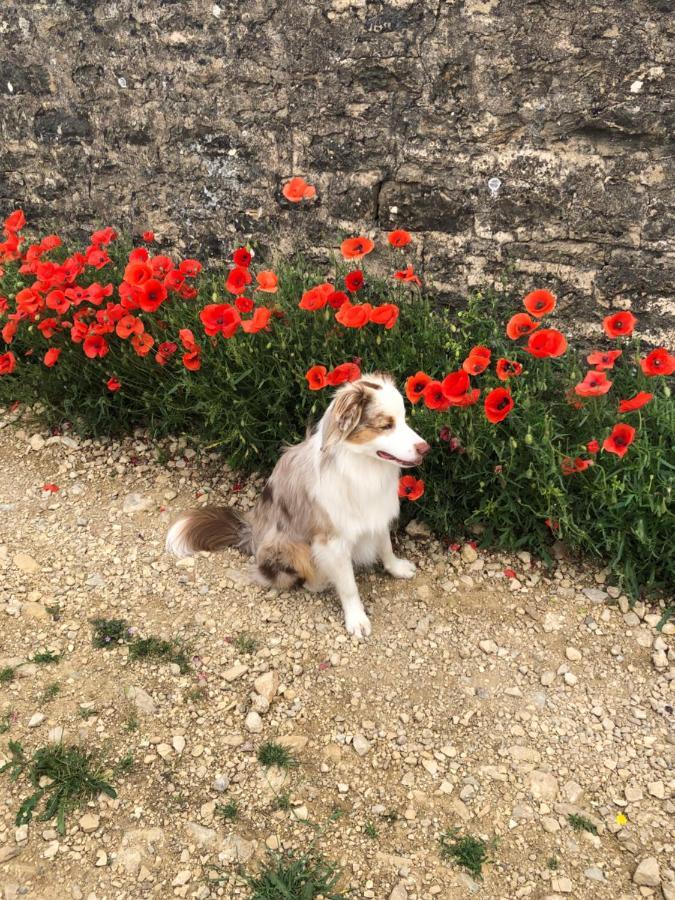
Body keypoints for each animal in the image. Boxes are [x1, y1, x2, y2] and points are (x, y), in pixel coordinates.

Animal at [168, 372, 434, 640]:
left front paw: (397, 568)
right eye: (386, 425)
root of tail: (250, 532)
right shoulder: (332, 540)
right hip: (291, 547)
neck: (362, 466)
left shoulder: (376, 512)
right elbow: (349, 586)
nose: (426, 448)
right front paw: (356, 619)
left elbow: (386, 546)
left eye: (404, 419)